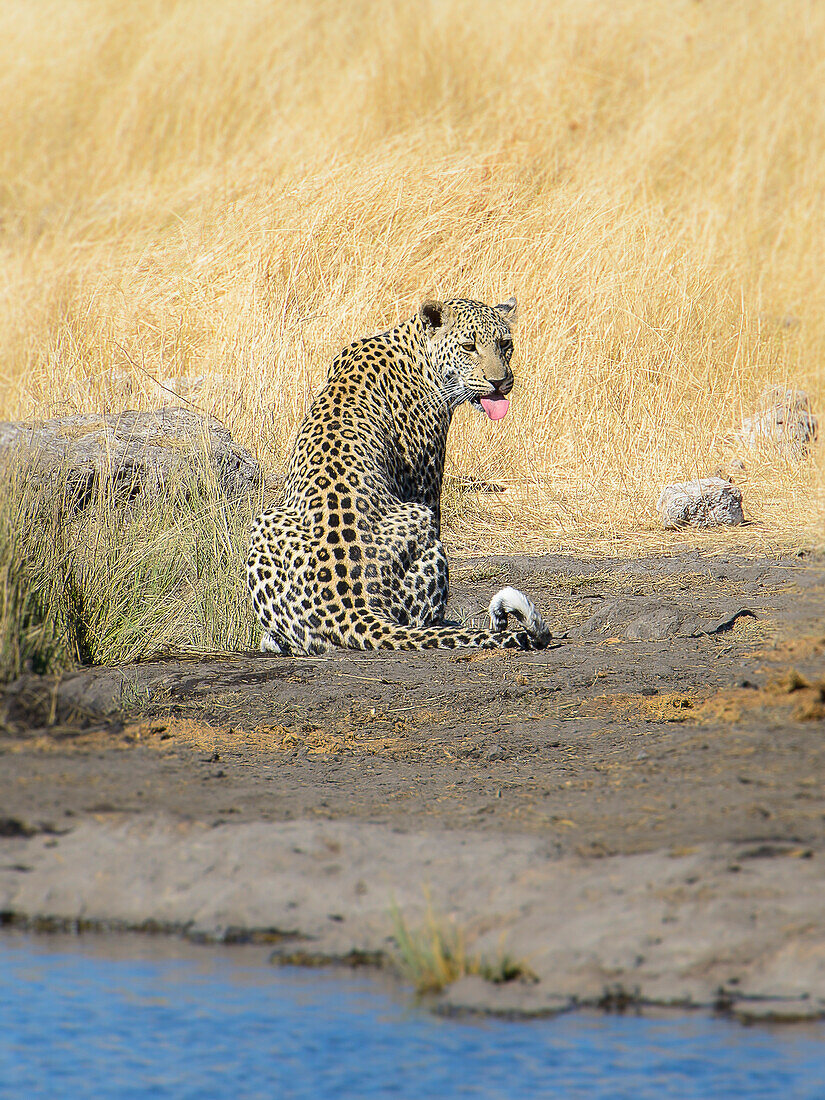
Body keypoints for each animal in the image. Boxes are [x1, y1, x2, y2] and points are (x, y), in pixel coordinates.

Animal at [247, 294, 556, 651]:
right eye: (469, 346)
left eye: (505, 344)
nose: (500, 382)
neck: (417, 350)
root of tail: (348, 607)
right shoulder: (424, 482)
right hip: (422, 523)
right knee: (421, 620)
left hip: (265, 520)